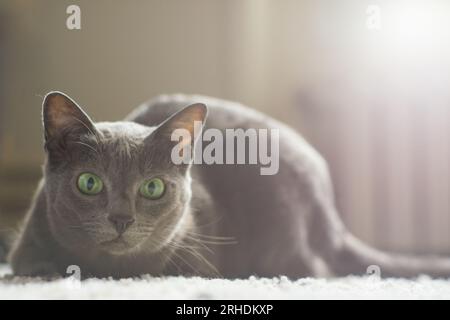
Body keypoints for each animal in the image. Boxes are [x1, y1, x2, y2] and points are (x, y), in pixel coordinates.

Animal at [7, 92, 450, 278]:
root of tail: (332, 216)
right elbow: (37, 264)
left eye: (152, 189)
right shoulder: (25, 250)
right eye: (89, 182)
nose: (120, 219)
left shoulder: (199, 264)